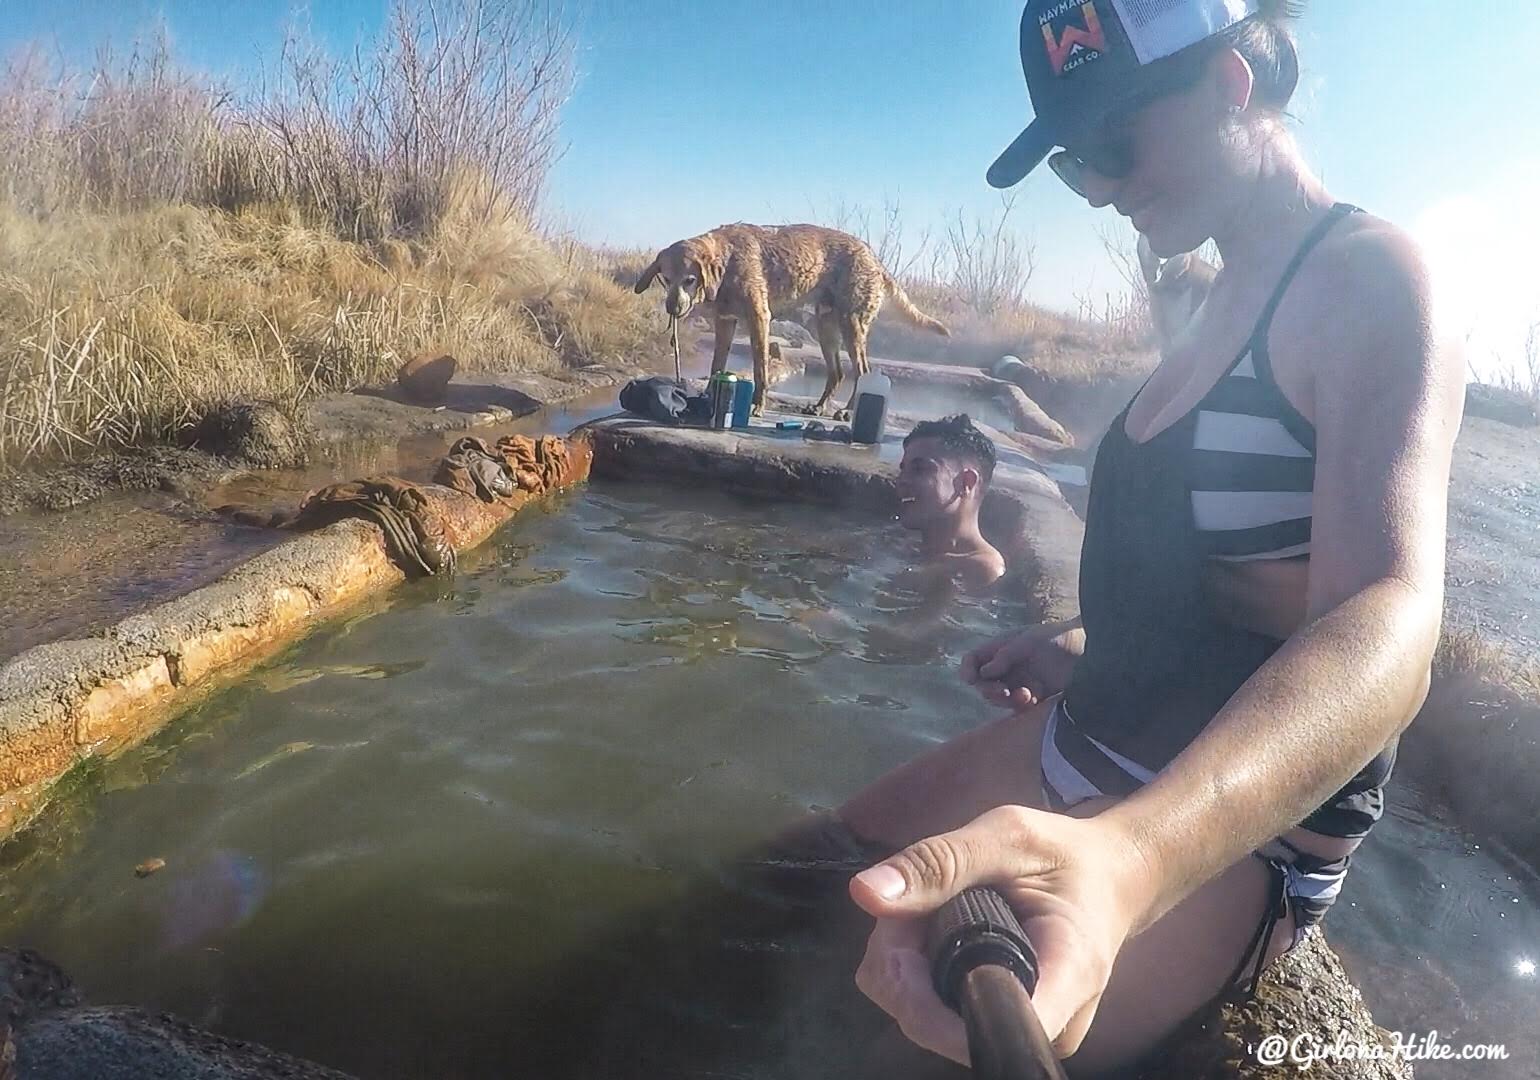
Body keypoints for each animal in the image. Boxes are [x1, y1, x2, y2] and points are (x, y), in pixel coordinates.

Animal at [637, 223, 948, 415]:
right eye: (666, 279)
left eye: (690, 280)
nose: (672, 308)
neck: (729, 261)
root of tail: (874, 258)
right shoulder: (725, 323)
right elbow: (717, 367)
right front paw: (709, 401)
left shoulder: (759, 320)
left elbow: (761, 370)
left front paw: (757, 406)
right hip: (826, 327)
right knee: (837, 373)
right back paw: (819, 407)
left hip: (852, 326)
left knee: (862, 372)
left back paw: (847, 411)